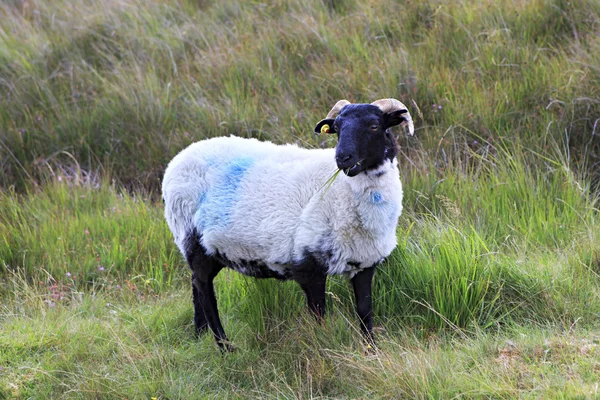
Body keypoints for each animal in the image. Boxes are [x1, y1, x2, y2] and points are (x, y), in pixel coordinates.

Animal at [162, 97, 414, 350]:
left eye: (374, 126)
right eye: (337, 129)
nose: (342, 158)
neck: (343, 193)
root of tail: (179, 158)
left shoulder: (364, 263)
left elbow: (365, 311)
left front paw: (371, 350)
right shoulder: (309, 268)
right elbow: (319, 317)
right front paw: (321, 347)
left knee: (196, 286)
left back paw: (199, 335)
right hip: (193, 241)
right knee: (204, 288)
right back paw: (225, 347)